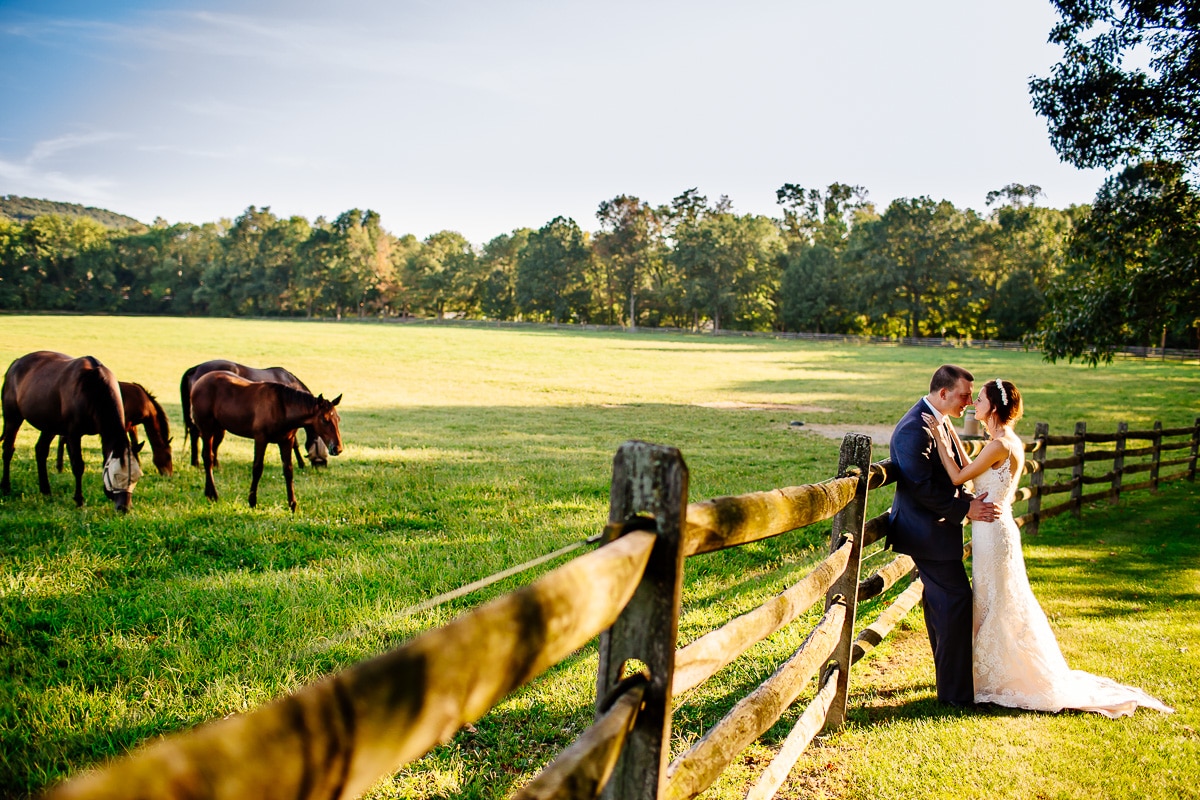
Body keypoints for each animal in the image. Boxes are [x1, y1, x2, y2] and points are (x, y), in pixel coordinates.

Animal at [1, 350, 142, 513]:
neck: (92, 388)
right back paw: (6, 487)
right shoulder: (73, 434)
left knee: (41, 450)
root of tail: (16, 363)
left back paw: (45, 490)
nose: (124, 508)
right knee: (8, 449)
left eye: (136, 477)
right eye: (116, 476)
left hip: (49, 426)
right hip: (13, 417)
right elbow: (78, 466)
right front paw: (79, 500)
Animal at [180, 357, 328, 470]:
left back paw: (195, 462)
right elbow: (295, 444)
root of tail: (196, 368)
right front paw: (301, 463)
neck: (291, 385)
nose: (323, 465)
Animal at [187, 371, 345, 513]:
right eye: (324, 419)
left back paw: (208, 493)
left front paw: (292, 505)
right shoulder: (261, 439)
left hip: (219, 429)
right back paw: (213, 494)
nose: (337, 448)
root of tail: (199, 381)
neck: (282, 407)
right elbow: (257, 468)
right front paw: (252, 501)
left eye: (337, 419)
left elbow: (288, 470)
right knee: (208, 457)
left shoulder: (286, 441)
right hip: (207, 429)